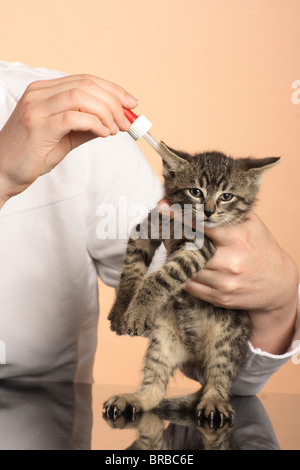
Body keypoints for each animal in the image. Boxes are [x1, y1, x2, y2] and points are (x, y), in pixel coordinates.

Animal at [103, 142, 278, 422]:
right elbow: (131, 270)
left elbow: (160, 276)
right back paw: (134, 398)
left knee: (219, 379)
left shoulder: (201, 249)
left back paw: (213, 401)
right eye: (196, 192)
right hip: (162, 338)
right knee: (154, 388)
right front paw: (124, 307)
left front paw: (139, 309)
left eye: (226, 196)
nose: (209, 211)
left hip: (227, 341)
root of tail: (194, 357)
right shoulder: (148, 226)